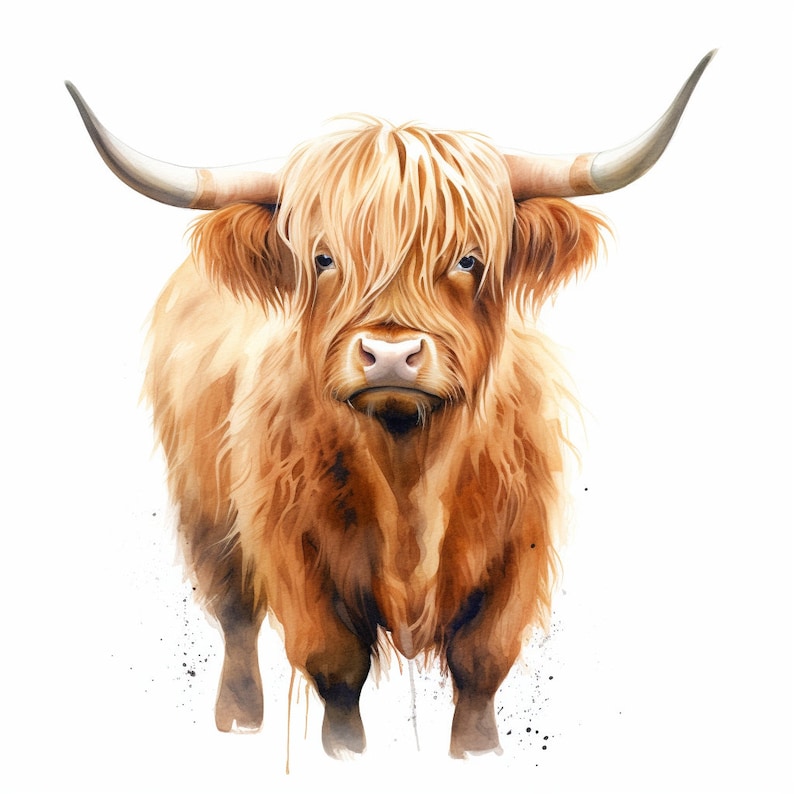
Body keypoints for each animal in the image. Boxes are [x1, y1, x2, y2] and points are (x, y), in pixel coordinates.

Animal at [66, 51, 713, 759]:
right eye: (323, 258)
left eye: (469, 259)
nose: (390, 354)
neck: (409, 473)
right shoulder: (294, 549)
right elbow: (335, 668)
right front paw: (345, 754)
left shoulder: (518, 548)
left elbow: (482, 664)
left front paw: (478, 754)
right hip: (204, 505)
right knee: (235, 614)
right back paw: (237, 721)